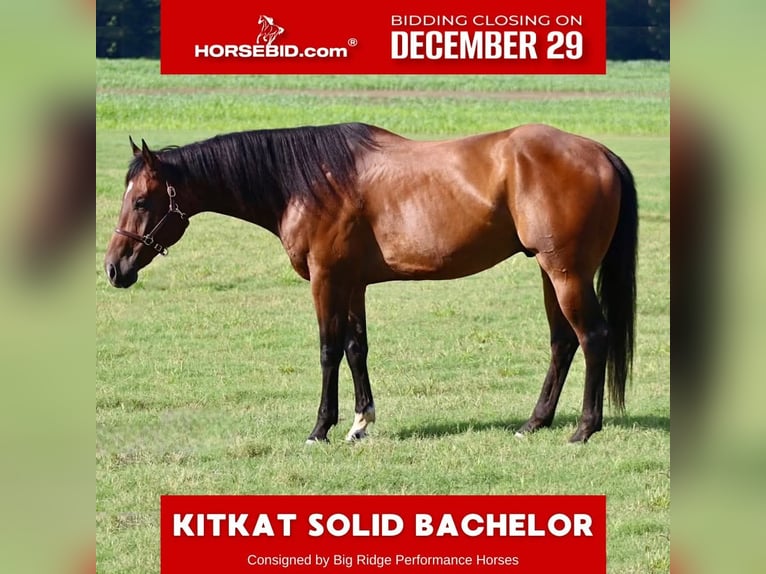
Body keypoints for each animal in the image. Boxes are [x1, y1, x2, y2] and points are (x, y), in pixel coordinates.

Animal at [104, 122, 637, 444]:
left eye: (143, 200)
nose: (114, 267)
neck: (307, 181)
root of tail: (599, 152)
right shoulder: (353, 283)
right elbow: (356, 347)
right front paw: (361, 423)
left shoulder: (326, 279)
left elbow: (327, 350)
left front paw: (321, 428)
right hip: (550, 272)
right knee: (563, 342)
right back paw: (534, 422)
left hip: (567, 273)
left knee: (593, 337)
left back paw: (584, 429)